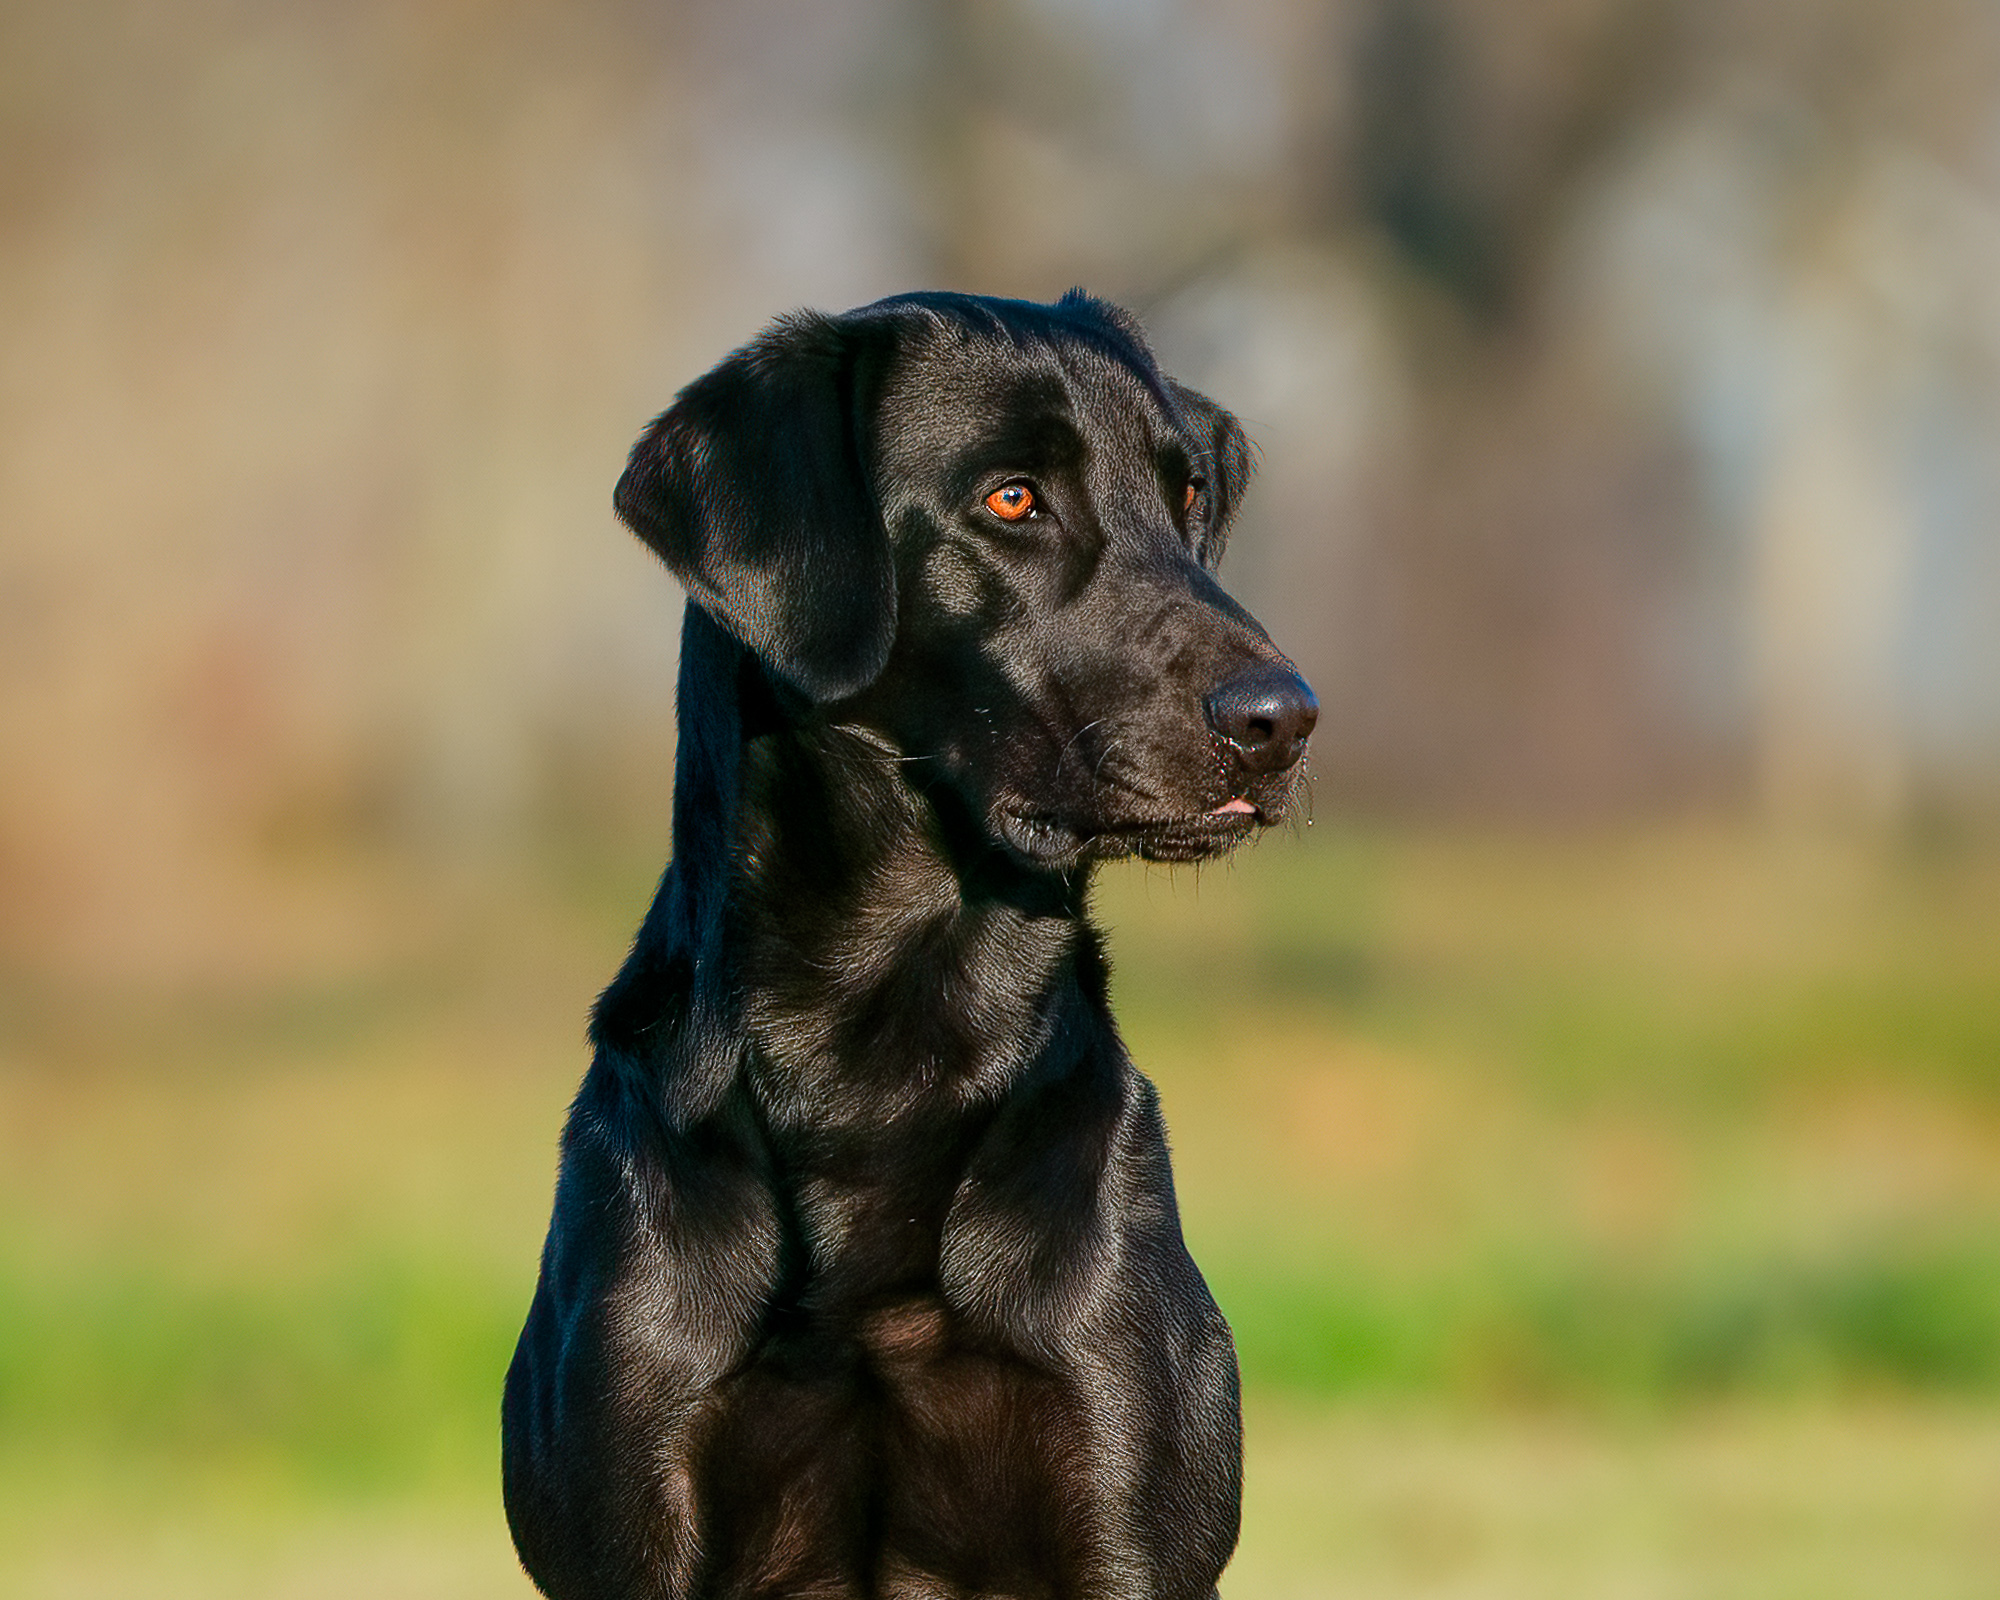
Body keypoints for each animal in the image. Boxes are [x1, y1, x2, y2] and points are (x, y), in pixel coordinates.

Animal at [504, 290, 1312, 1600]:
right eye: (1012, 498)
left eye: (1187, 493)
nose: (1283, 719)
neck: (885, 1037)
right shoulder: (636, 1489)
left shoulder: (1122, 1494)